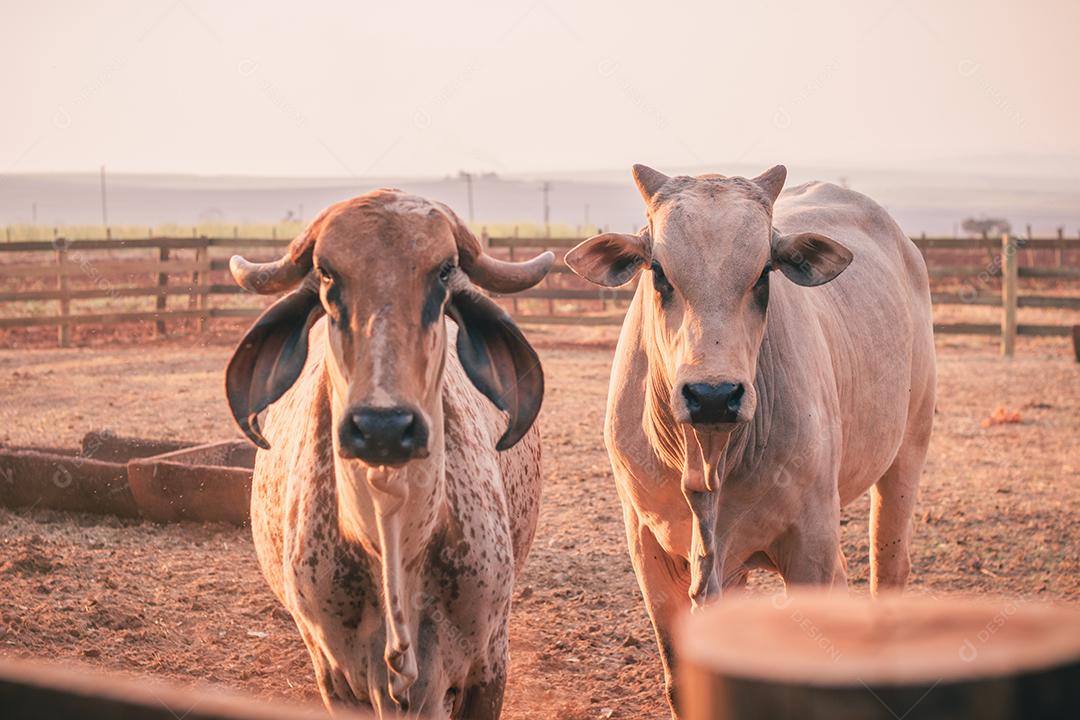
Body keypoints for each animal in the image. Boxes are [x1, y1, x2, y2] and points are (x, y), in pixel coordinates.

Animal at [565, 165, 936, 717]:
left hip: (907, 450)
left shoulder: (809, 546)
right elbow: (682, 679)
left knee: (887, 567)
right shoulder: (648, 546)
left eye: (763, 272)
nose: (713, 395)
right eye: (659, 272)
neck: (706, 461)